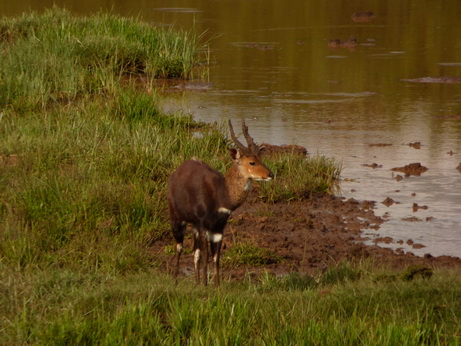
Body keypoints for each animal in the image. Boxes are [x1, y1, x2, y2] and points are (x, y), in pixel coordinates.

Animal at [166, 120, 272, 286]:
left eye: (261, 160)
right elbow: (206, 256)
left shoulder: (218, 228)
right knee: (180, 247)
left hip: (194, 225)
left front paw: (216, 285)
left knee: (195, 252)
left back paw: (196, 282)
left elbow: (216, 258)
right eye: (252, 162)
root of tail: (175, 173)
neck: (221, 195)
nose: (270, 174)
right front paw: (205, 285)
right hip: (177, 218)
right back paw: (176, 280)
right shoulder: (203, 224)